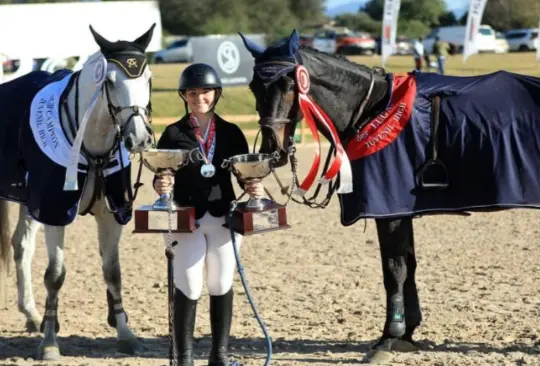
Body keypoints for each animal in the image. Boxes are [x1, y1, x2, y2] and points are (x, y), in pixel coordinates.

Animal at [0, 24, 155, 358]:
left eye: (148, 78)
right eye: (109, 81)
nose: (139, 138)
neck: (91, 145)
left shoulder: (111, 213)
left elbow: (113, 272)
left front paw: (126, 335)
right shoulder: (53, 211)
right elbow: (55, 275)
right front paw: (49, 344)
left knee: (21, 246)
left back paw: (32, 314)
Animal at [239, 30, 540, 362]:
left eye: (291, 85)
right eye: (254, 86)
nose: (273, 149)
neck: (373, 110)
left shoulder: (390, 210)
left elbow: (394, 268)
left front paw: (390, 335)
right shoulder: (400, 211)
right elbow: (408, 264)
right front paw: (407, 332)